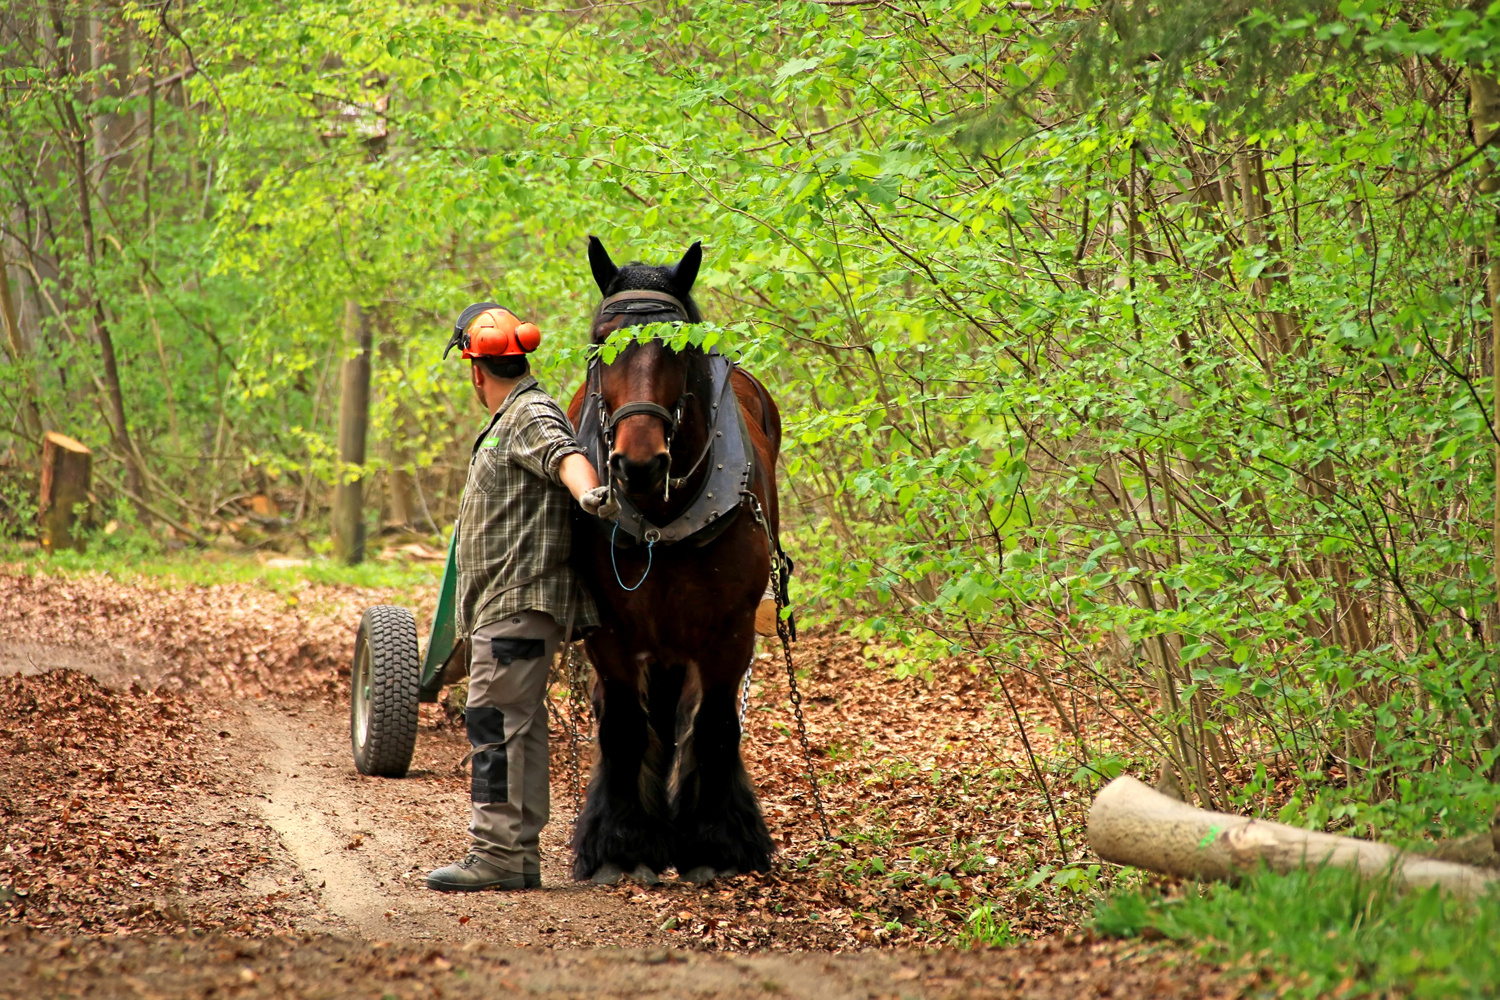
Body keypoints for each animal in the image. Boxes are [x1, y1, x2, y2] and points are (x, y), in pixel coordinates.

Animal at [564, 238, 786, 887]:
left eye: (681, 346)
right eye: (600, 341)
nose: (639, 464)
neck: (661, 515)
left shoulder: (729, 632)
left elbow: (713, 726)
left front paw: (715, 842)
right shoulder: (610, 632)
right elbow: (621, 725)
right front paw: (621, 844)